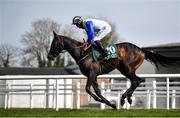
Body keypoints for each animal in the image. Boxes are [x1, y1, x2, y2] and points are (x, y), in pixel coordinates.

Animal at [47, 31, 179, 109]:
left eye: (54, 43)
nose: (49, 56)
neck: (82, 52)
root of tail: (141, 50)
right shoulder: (94, 75)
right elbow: (98, 91)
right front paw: (110, 104)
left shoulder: (91, 74)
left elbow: (88, 89)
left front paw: (103, 101)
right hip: (124, 69)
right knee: (137, 80)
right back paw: (128, 98)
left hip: (127, 68)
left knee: (136, 81)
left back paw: (124, 98)